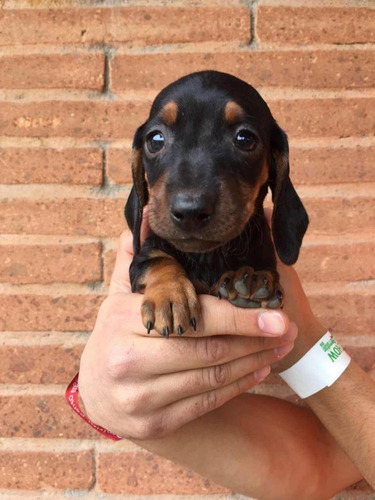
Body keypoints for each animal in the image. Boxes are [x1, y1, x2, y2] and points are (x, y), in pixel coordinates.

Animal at [125, 69, 310, 336]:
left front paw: (252, 279)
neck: (209, 255)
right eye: (155, 139)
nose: (190, 211)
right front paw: (170, 297)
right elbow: (159, 260)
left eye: (245, 139)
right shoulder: (144, 255)